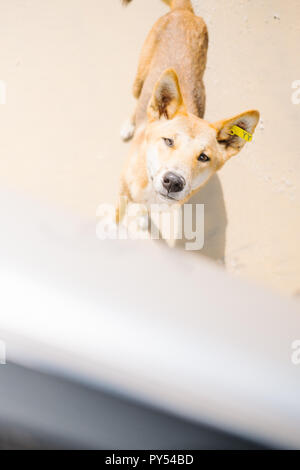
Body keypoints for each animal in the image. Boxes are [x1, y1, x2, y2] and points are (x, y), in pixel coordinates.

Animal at [117, 0, 260, 222]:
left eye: (203, 157)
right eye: (168, 141)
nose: (174, 181)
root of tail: (185, 12)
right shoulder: (122, 193)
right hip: (139, 80)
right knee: (138, 102)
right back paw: (128, 126)